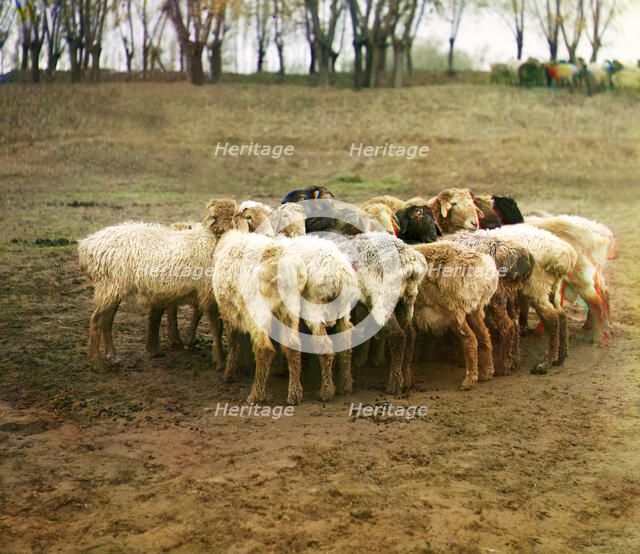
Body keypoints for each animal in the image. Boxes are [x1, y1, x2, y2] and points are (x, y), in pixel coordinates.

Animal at [78, 199, 245, 370]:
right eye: (216, 218)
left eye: (233, 216)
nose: (225, 232)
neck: (210, 241)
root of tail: (87, 245)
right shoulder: (208, 294)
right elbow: (216, 328)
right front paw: (220, 361)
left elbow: (217, 327)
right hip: (110, 286)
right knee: (96, 320)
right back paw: (97, 364)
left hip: (112, 289)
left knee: (106, 321)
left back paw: (113, 357)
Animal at [212, 230, 307, 405]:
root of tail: (279, 264)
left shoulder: (228, 312)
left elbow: (233, 342)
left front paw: (229, 374)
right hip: (290, 308)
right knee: (293, 345)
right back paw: (294, 393)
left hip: (258, 310)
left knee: (264, 349)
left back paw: (256, 394)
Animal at [411, 241, 499, 390]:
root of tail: (485, 272)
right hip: (474, 308)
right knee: (484, 335)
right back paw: (487, 372)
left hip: (454, 311)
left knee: (470, 339)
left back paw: (469, 380)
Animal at [447, 231, 535, 375]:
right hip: (510, 296)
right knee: (515, 325)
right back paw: (515, 360)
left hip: (497, 296)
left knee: (507, 326)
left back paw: (503, 366)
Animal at [487, 224, 578, 373]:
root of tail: (564, 255)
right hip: (553, 287)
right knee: (562, 315)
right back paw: (561, 357)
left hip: (536, 287)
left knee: (553, 318)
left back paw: (545, 363)